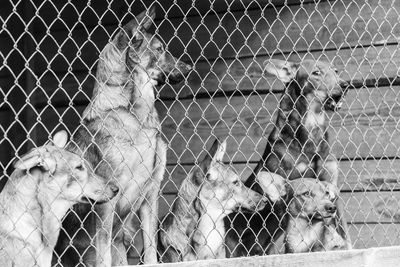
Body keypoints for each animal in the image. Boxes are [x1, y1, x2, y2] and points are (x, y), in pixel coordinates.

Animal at [54, 6, 193, 267]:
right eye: (159, 48)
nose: (191, 68)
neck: (134, 115)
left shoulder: (150, 192)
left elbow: (150, 249)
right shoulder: (108, 198)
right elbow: (104, 251)